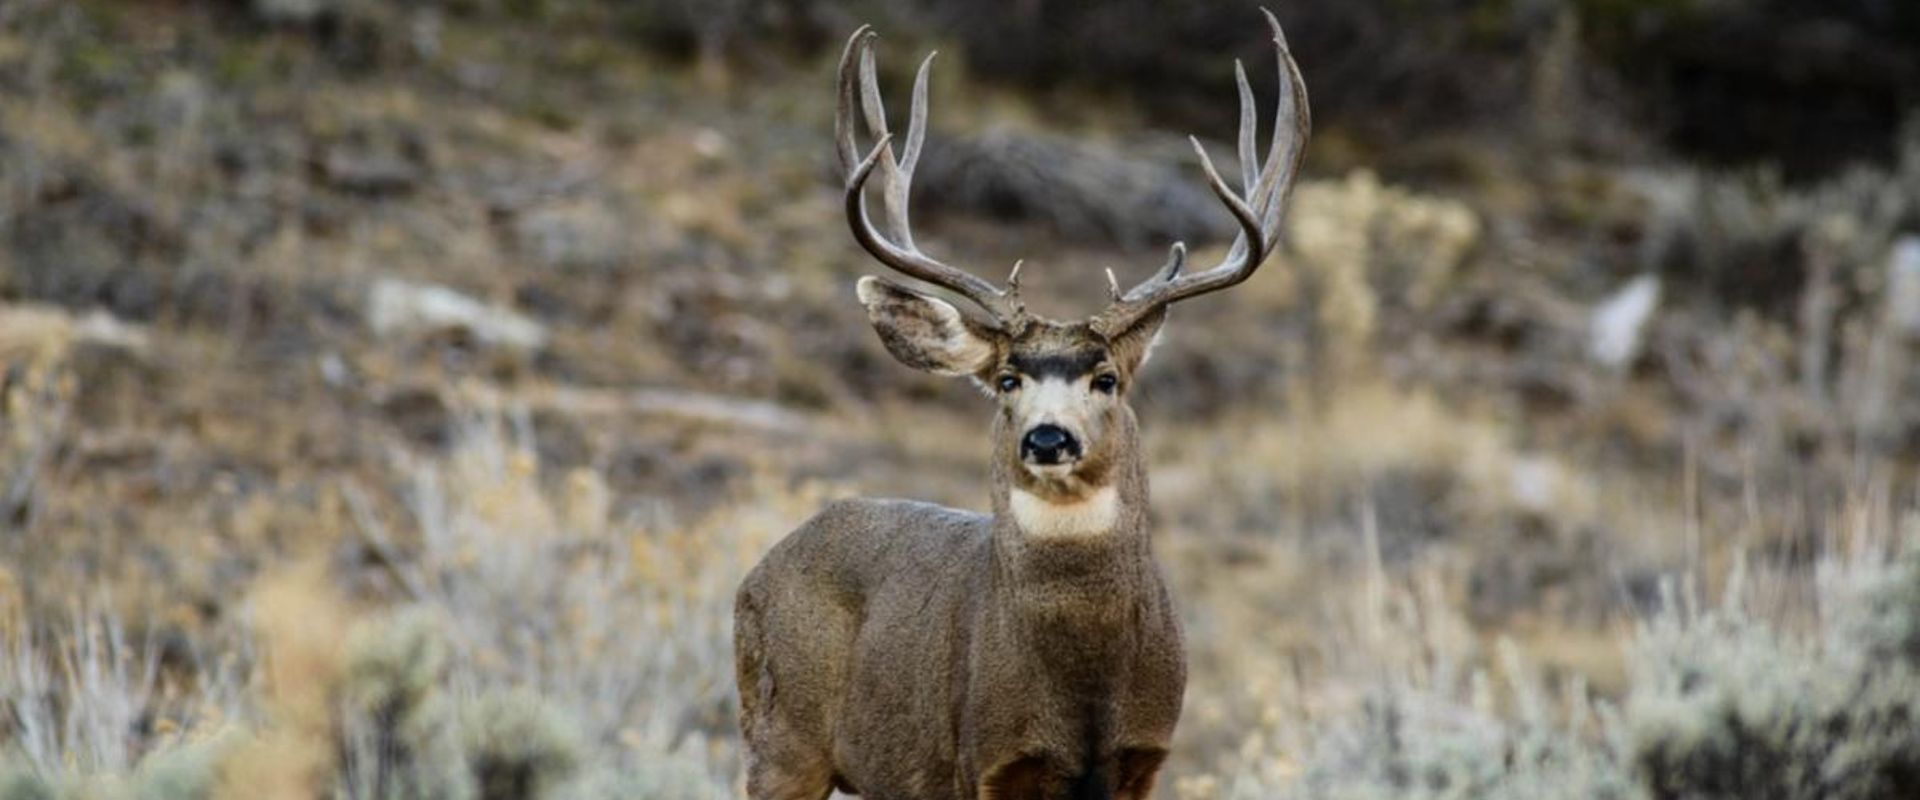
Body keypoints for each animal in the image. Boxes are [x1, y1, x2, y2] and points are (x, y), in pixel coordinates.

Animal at [733, 10, 1309, 799]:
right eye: (1008, 378)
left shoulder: (1145, 756)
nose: (1048, 438)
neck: (1083, 679)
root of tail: (761, 569)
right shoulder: (990, 760)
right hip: (780, 734)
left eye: (1106, 378)